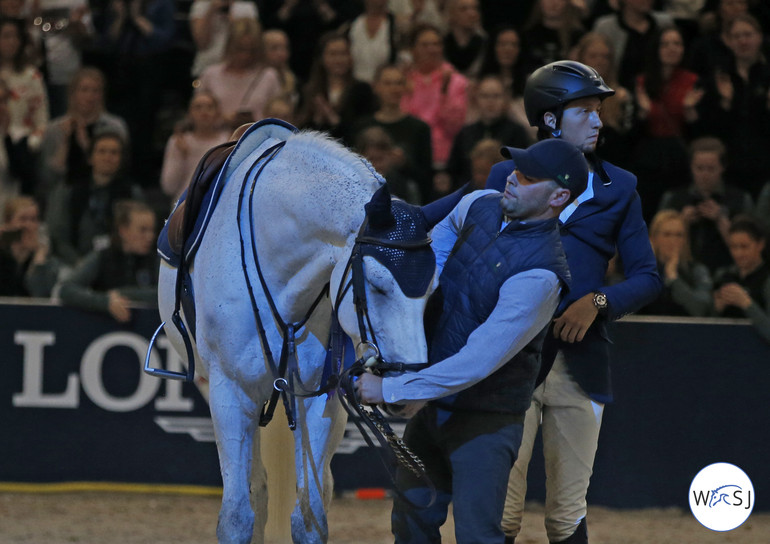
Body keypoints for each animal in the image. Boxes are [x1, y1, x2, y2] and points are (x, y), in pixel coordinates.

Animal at [154, 123, 438, 544]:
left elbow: (309, 516)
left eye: (431, 290)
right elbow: (237, 516)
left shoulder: (319, 398)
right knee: (256, 488)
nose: (408, 392)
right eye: (377, 284)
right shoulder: (230, 393)